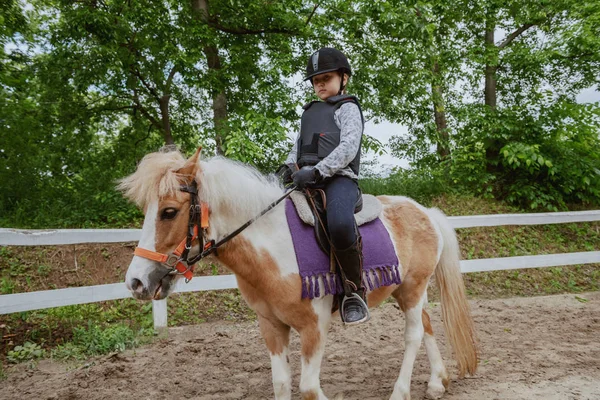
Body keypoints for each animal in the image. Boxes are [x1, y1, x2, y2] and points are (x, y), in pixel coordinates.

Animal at [119, 148, 478, 398]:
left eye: (169, 212)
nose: (135, 282)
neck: (275, 247)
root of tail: (424, 211)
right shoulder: (271, 326)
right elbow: (281, 384)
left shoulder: (313, 327)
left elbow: (308, 389)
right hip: (406, 292)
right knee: (428, 326)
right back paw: (437, 383)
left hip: (414, 288)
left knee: (414, 335)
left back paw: (401, 392)